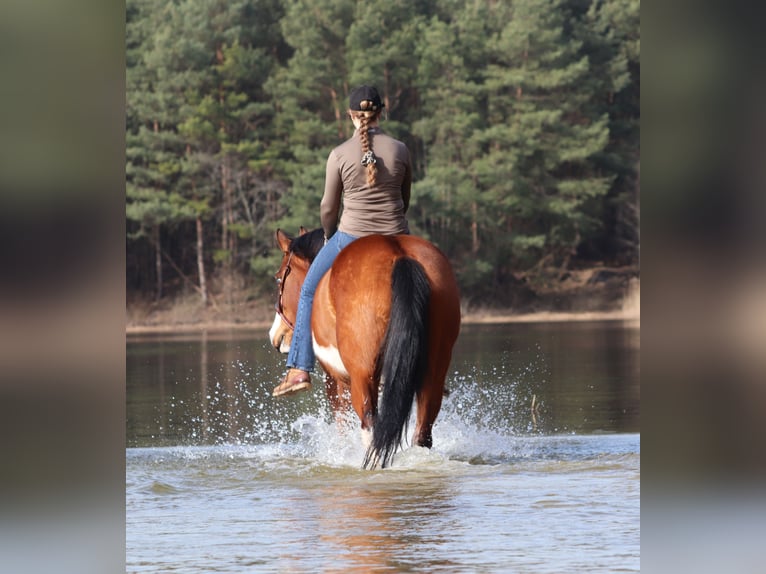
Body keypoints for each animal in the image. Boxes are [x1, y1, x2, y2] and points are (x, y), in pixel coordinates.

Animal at [268, 228, 461, 469]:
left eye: (279, 277)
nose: (275, 336)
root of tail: (399, 255)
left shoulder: (337, 382)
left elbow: (342, 424)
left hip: (363, 376)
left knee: (371, 427)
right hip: (433, 372)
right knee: (422, 432)